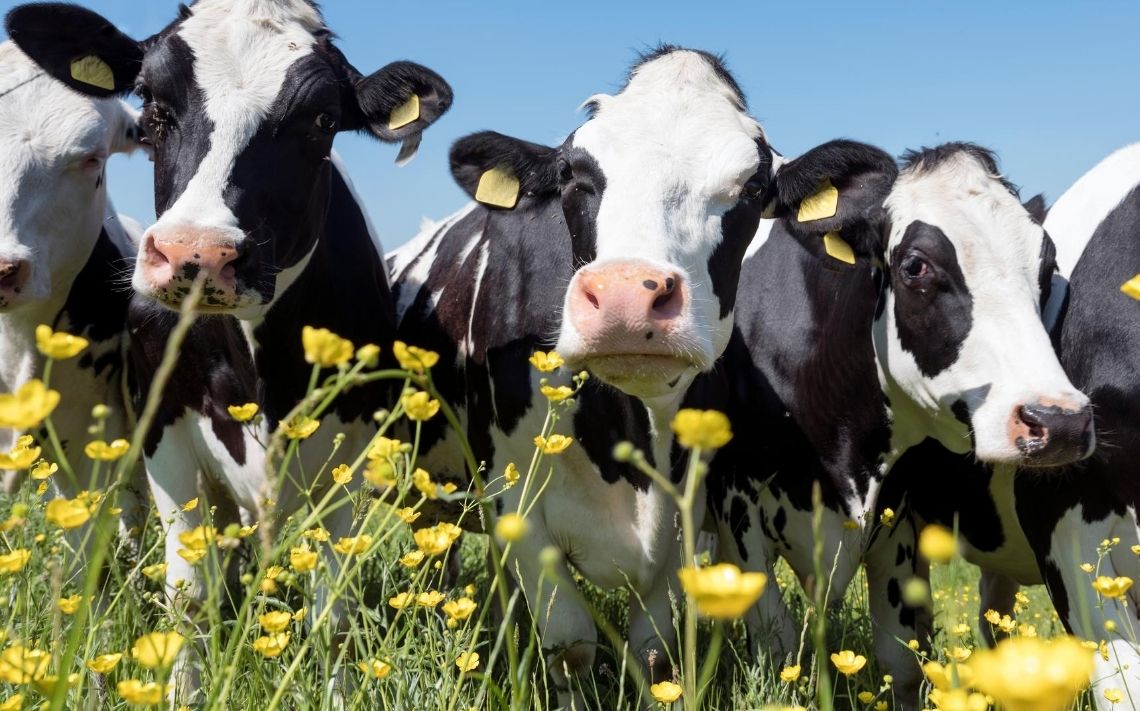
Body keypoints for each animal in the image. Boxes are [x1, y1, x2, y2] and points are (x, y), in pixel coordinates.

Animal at [389, 45, 890, 706]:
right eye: (573, 174)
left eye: (753, 186)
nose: (628, 296)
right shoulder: (515, 499)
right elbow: (571, 645)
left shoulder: (686, 518)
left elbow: (652, 653)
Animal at [685, 143, 1096, 703]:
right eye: (916, 266)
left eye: (1046, 265)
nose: (1059, 421)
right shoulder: (737, 510)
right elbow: (777, 646)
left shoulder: (895, 518)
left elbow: (899, 660)